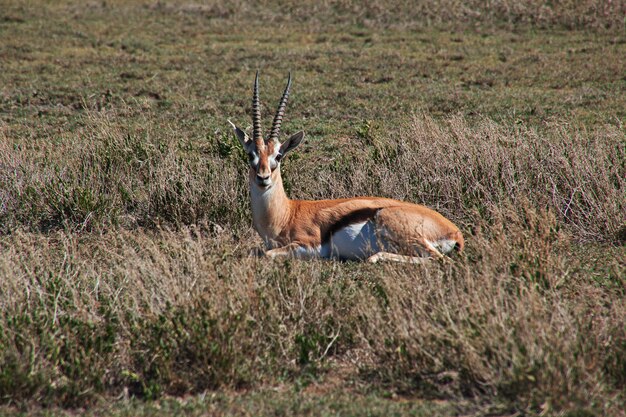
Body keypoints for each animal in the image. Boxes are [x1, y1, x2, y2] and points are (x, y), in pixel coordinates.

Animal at [227, 71, 460, 260]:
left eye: (278, 155)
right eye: (251, 154)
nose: (263, 177)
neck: (286, 214)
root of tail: (454, 231)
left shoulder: (309, 246)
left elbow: (266, 254)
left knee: (439, 259)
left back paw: (374, 257)